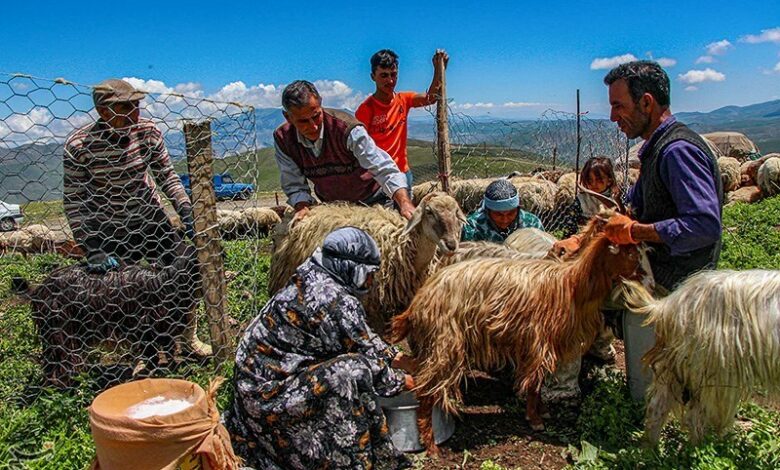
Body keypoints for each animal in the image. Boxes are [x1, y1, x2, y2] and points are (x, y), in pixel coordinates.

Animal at [12, 244, 201, 388]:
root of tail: (39, 290)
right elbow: (155, 355)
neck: (168, 281)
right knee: (61, 365)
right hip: (61, 330)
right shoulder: (148, 328)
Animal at [390, 214, 644, 456]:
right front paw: (536, 419)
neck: (570, 282)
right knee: (426, 388)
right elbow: (534, 383)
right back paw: (431, 446)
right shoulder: (538, 340)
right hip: (445, 343)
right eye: (630, 252)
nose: (642, 274)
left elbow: (537, 382)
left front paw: (541, 411)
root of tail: (420, 300)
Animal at [620, 270, 780, 446]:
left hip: (679, 366)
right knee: (696, 416)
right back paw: (702, 448)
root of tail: (671, 304)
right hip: (712, 373)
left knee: (658, 405)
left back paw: (650, 448)